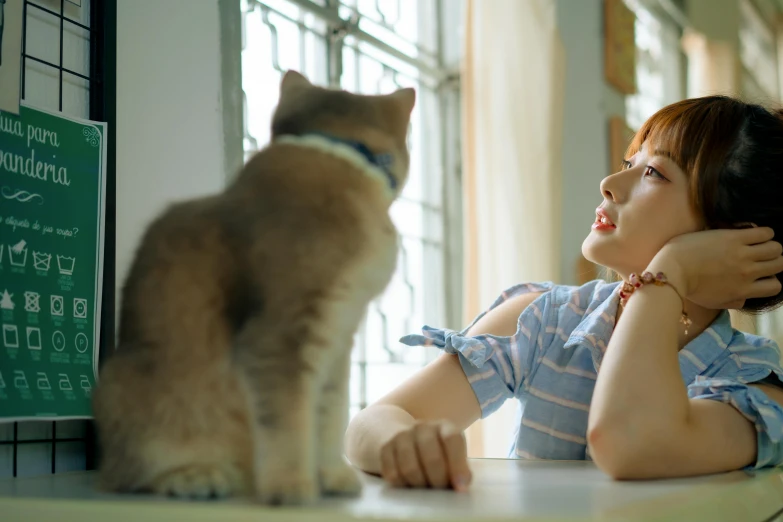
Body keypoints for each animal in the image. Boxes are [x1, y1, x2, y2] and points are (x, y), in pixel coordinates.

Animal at [92, 71, 416, 502]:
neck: (335, 155)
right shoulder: (279, 335)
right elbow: (288, 421)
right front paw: (291, 486)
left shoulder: (336, 342)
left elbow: (329, 415)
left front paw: (331, 475)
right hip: (126, 389)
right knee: (127, 474)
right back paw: (195, 476)